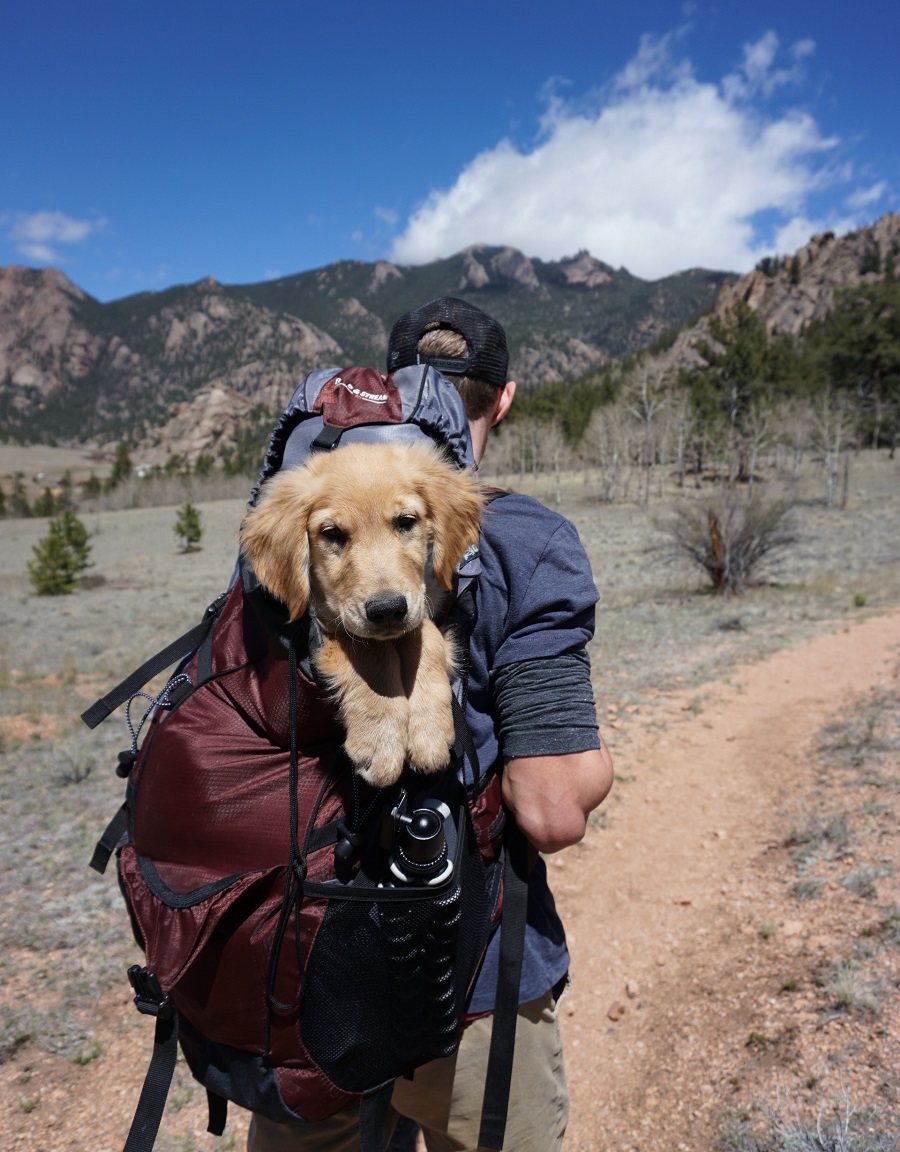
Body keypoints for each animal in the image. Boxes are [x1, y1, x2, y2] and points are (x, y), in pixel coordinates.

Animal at [235, 435, 481, 787]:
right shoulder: (327, 623)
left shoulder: (420, 602)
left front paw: (429, 727)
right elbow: (368, 649)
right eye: (332, 534)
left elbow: (424, 635)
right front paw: (381, 737)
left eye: (406, 522)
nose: (387, 610)